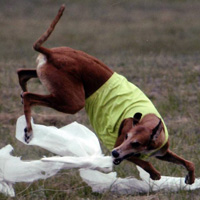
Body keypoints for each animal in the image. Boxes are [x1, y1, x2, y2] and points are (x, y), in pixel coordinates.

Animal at [17, 5, 195, 184]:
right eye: (126, 137)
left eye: (136, 143)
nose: (115, 153)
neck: (148, 119)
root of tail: (51, 53)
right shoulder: (119, 146)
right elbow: (146, 163)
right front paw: (154, 174)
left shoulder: (162, 152)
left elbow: (189, 163)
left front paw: (190, 178)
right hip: (73, 102)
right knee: (29, 95)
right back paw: (29, 130)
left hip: (53, 83)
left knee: (22, 75)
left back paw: (23, 98)